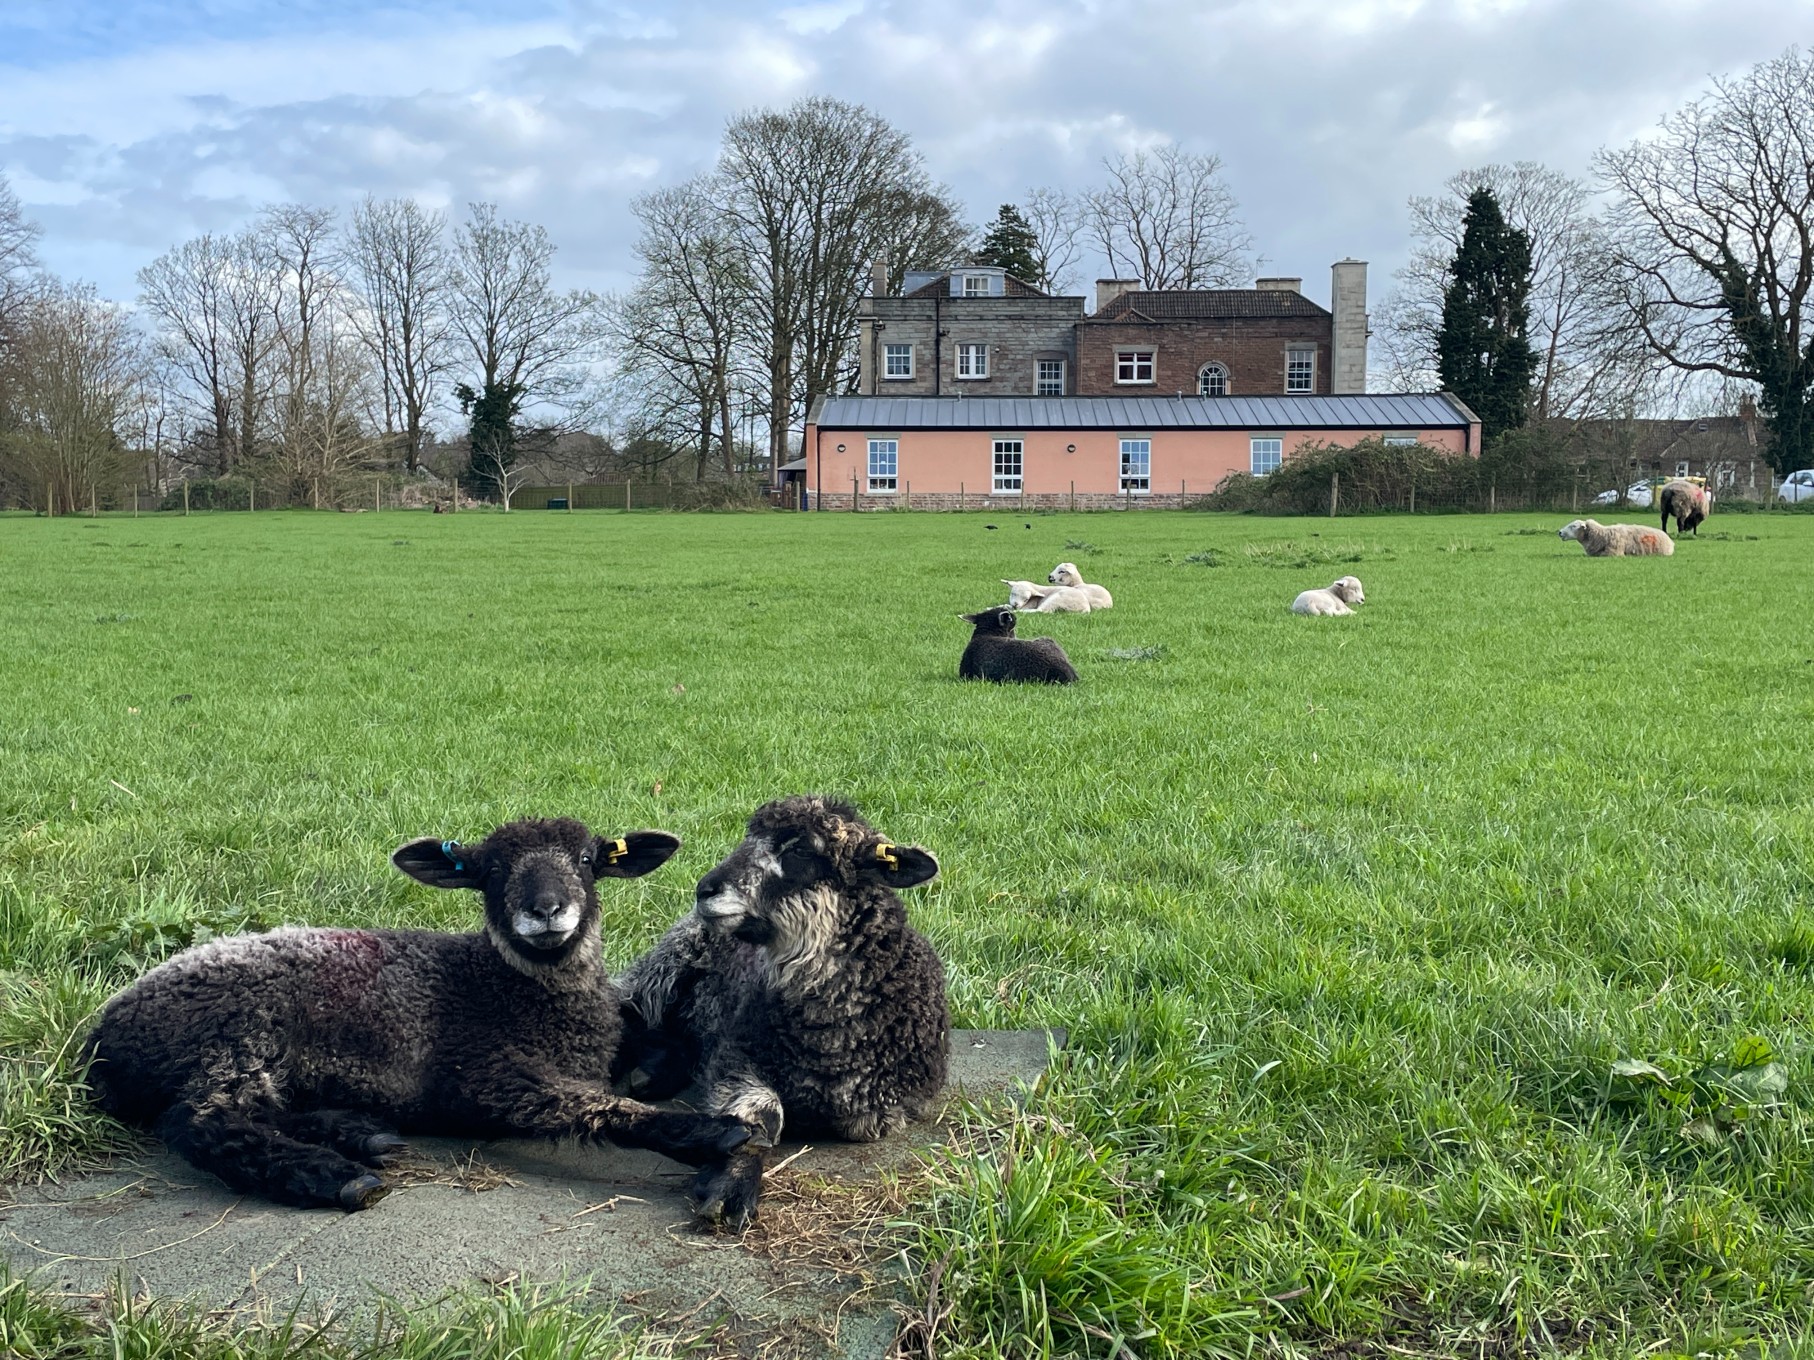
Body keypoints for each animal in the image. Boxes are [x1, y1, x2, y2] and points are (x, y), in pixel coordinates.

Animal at [81, 818, 753, 1213]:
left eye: (589, 860)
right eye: (491, 871)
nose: (546, 909)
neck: (503, 986)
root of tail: (102, 1040)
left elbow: (647, 1036)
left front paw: (652, 1070)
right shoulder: (482, 1077)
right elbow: (594, 1106)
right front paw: (711, 1133)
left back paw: (360, 1133)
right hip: (238, 1035)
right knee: (203, 1121)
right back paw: (335, 1174)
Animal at [617, 796, 949, 1228]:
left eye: (802, 850)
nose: (705, 889)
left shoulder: (887, 1103)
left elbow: (858, 1124)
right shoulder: (734, 1057)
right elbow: (764, 1118)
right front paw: (733, 1183)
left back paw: (657, 1071)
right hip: (669, 961)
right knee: (629, 1009)